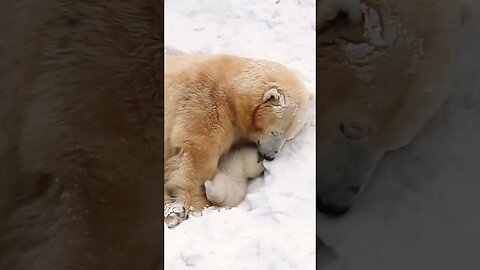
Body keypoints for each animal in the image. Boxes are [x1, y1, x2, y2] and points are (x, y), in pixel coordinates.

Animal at [164, 54, 312, 226]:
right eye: (275, 132)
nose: (270, 157)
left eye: (289, 137)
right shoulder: (203, 104)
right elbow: (198, 154)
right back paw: (174, 212)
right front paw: (202, 206)